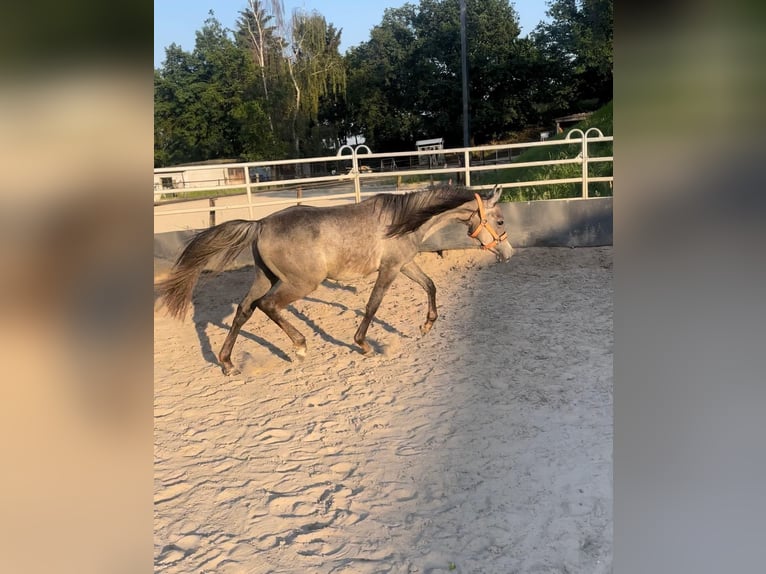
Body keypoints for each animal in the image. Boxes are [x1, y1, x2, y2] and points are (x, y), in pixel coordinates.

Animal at [156, 182, 516, 376]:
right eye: (499, 220)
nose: (508, 252)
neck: (401, 221)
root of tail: (259, 224)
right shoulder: (389, 269)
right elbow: (372, 305)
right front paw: (364, 344)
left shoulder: (404, 264)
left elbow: (430, 285)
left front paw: (427, 325)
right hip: (300, 283)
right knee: (268, 306)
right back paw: (300, 347)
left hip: (264, 276)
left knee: (244, 311)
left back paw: (228, 363)